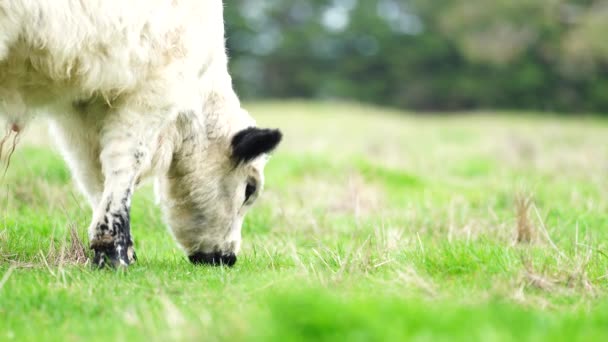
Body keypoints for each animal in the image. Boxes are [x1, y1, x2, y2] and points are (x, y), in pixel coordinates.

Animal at [0, 0, 282, 268]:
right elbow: (125, 162)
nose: (228, 258)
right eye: (249, 189)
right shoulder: (154, 85)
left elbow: (92, 175)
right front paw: (114, 253)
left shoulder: (77, 107)